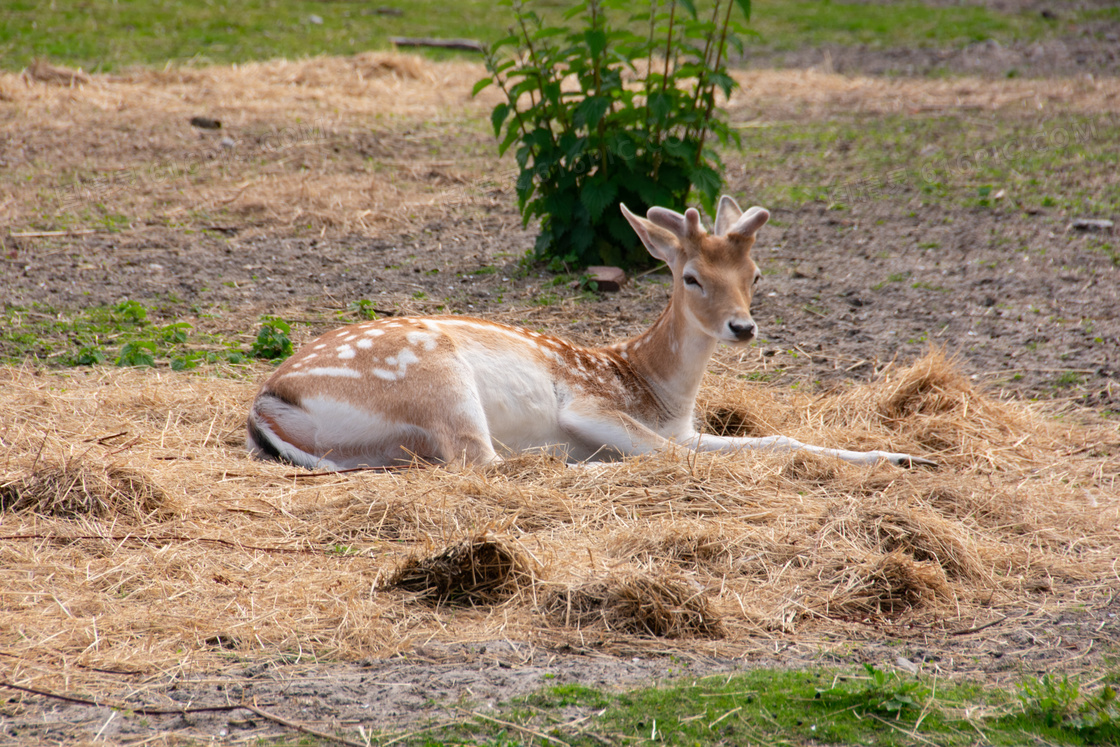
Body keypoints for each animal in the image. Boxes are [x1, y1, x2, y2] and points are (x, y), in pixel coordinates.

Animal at [247, 195, 936, 470]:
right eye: (691, 277)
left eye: (756, 274)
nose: (743, 326)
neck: (656, 390)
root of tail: (266, 402)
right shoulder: (590, 403)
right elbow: (668, 455)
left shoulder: (685, 427)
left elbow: (777, 440)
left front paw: (908, 457)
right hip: (434, 379)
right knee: (485, 461)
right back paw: (564, 459)